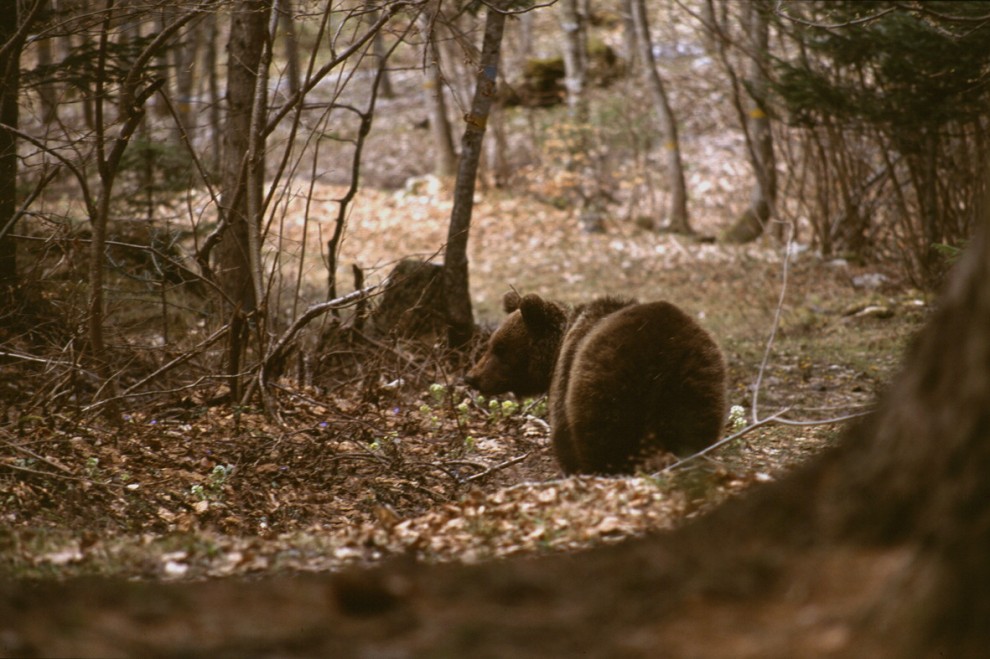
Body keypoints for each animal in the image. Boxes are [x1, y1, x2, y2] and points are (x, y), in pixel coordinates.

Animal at [464, 290, 728, 474]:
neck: (557, 349)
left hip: (607, 385)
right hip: (696, 385)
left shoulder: (566, 379)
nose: (472, 377)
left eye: (499, 348)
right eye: (493, 344)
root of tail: (664, 355)